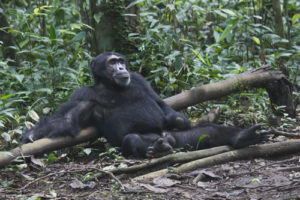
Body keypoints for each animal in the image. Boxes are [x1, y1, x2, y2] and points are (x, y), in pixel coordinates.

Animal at [22, 51, 190, 145]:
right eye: (112, 62)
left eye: (120, 61)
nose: (121, 68)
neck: (111, 86)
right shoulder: (82, 95)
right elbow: (67, 120)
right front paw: (32, 134)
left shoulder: (139, 80)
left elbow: (159, 102)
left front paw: (177, 120)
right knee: (132, 139)